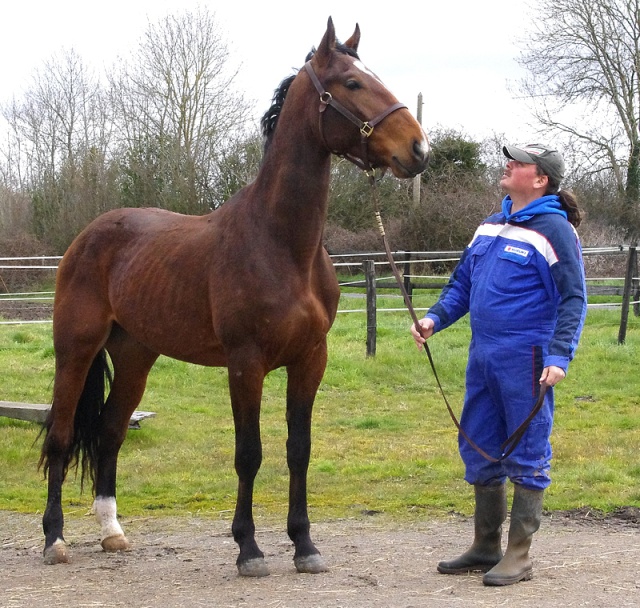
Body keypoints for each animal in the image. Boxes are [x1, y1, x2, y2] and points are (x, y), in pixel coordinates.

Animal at [40, 16, 430, 576]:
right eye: (353, 83)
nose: (418, 149)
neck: (282, 244)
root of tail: (88, 236)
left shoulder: (310, 359)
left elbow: (298, 449)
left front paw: (305, 544)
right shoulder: (245, 364)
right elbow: (250, 453)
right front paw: (249, 549)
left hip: (135, 355)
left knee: (111, 430)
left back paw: (113, 532)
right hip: (76, 351)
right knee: (62, 433)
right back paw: (54, 539)